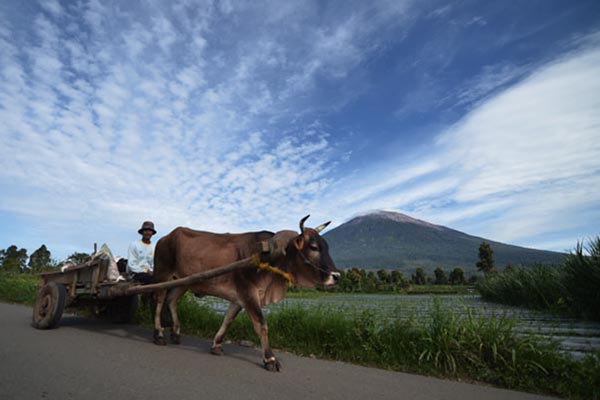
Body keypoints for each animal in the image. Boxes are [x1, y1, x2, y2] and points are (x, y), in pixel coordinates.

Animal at [151, 217, 338, 370]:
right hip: (163, 275)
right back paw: (159, 335)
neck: (268, 257)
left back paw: (176, 333)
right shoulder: (249, 293)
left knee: (171, 300)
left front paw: (216, 345)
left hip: (183, 282)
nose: (337, 276)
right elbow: (261, 324)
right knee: (159, 302)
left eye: (327, 247)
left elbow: (228, 320)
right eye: (313, 247)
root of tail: (165, 237)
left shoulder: (239, 298)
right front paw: (270, 359)